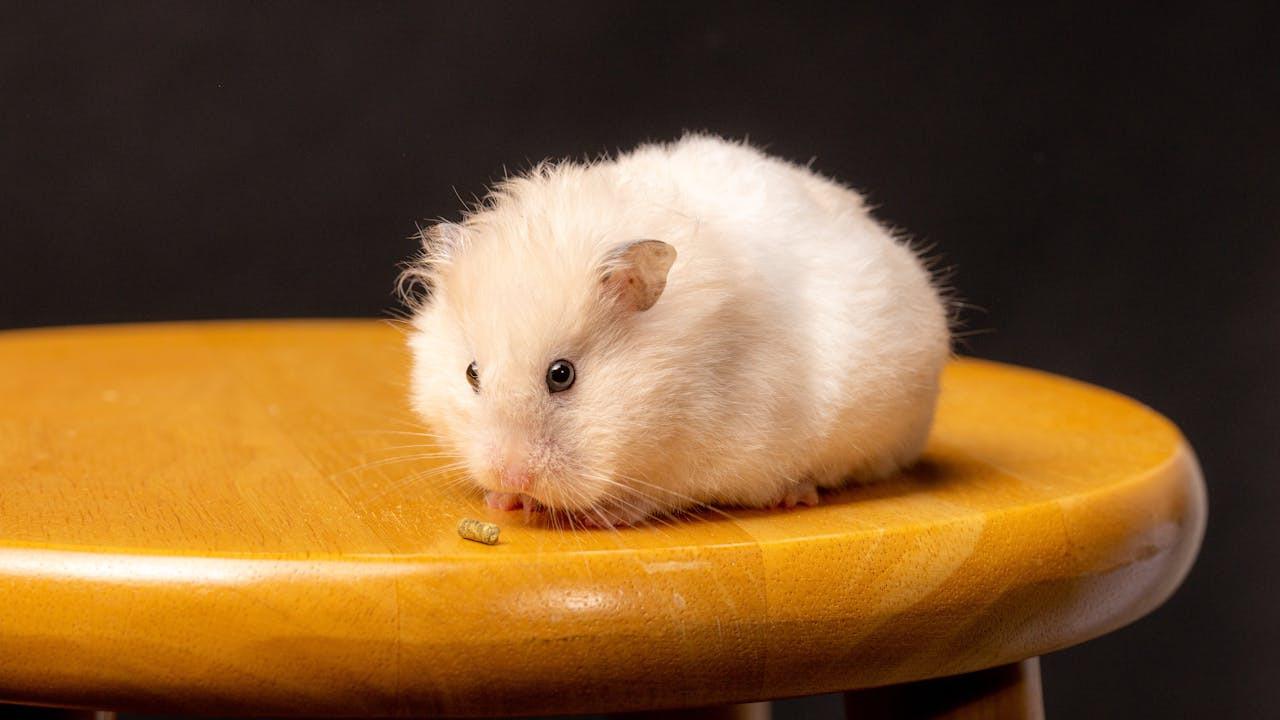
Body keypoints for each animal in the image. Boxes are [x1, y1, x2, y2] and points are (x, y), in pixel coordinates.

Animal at [402, 134, 950, 526]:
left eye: (562, 375)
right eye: (471, 373)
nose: (508, 472)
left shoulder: (709, 461)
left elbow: (651, 497)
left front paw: (596, 514)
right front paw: (505, 501)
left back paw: (797, 495)